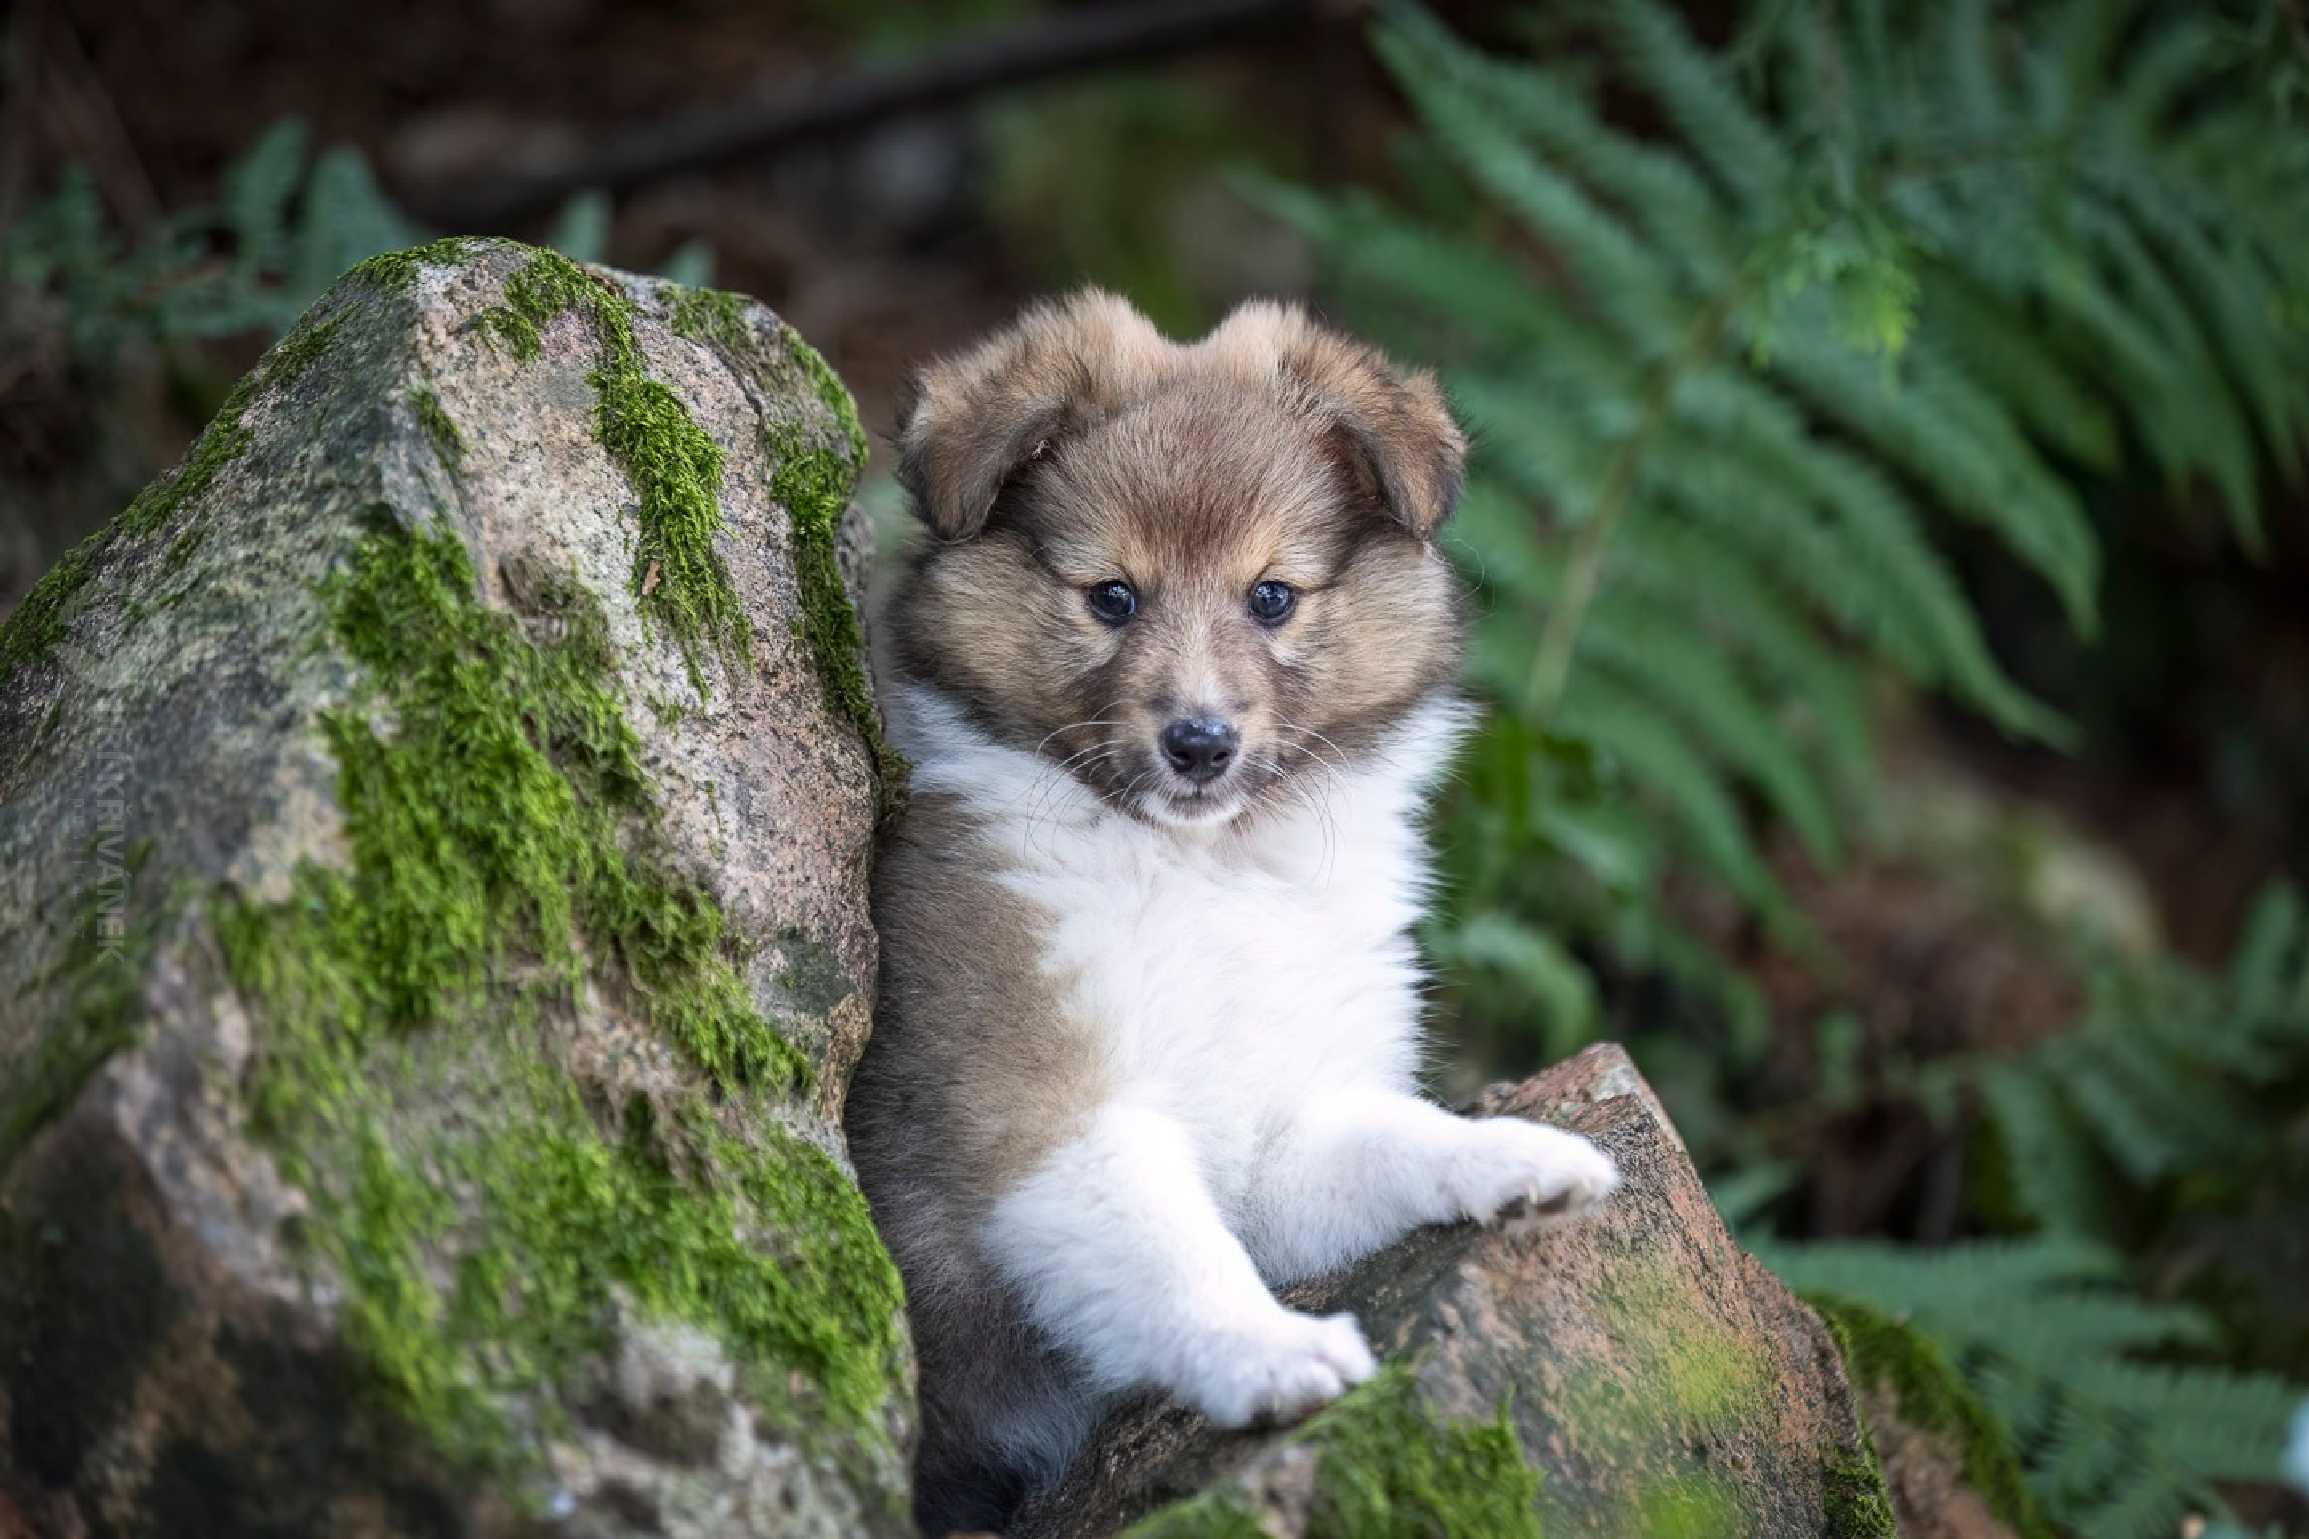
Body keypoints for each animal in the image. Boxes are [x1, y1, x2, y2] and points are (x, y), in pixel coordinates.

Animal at [840, 291, 1616, 1539]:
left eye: (1271, 596)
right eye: (1112, 596)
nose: (1196, 743)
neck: (1208, 875)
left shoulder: (1281, 1138)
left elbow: (1388, 1142)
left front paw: (1517, 1154)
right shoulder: (1040, 1113)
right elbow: (1173, 1253)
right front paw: (1270, 1353)